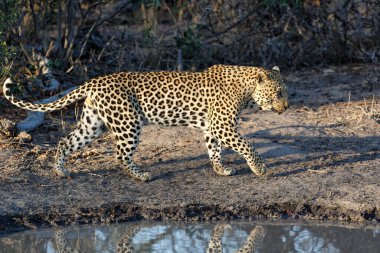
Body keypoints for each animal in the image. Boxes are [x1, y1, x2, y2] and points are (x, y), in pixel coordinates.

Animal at [2, 64, 288, 181]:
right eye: (278, 93)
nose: (286, 107)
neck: (247, 91)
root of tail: (94, 81)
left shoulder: (212, 127)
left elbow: (214, 149)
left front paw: (220, 169)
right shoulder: (223, 126)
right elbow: (247, 145)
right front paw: (260, 169)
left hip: (93, 123)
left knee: (65, 141)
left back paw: (60, 171)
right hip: (128, 123)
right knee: (120, 155)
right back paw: (141, 176)